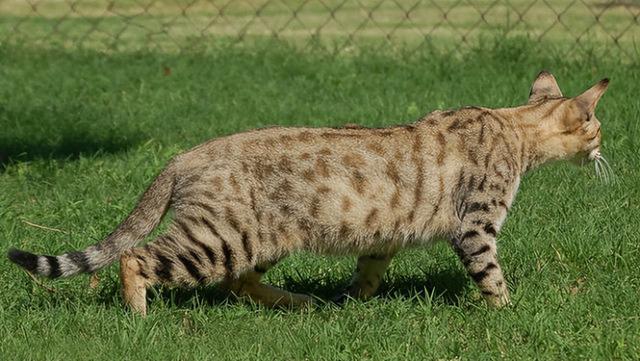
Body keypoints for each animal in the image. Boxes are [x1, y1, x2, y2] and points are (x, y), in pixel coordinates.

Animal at [8, 69, 608, 312]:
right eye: (598, 128)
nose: (607, 150)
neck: (512, 127)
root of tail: (183, 155)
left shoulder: (383, 236)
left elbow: (368, 274)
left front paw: (354, 303)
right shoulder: (476, 226)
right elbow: (492, 277)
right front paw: (508, 312)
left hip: (259, 240)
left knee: (239, 285)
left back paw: (303, 303)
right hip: (221, 238)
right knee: (135, 258)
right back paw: (138, 316)